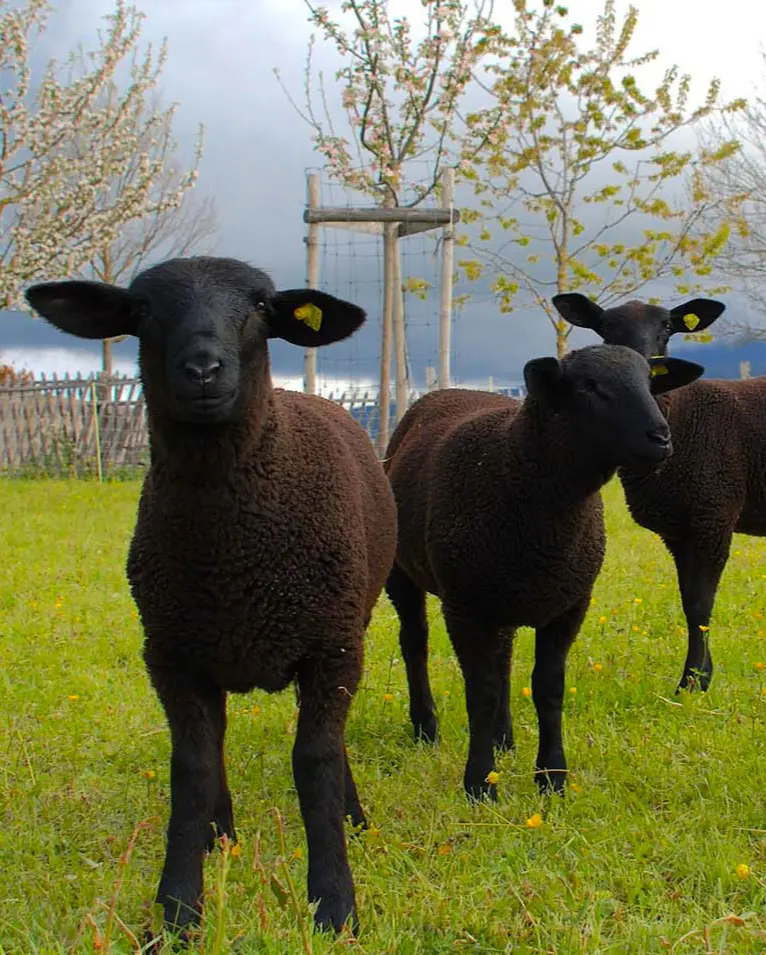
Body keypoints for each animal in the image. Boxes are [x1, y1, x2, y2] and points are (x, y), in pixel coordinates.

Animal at [24, 256, 398, 938]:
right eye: (142, 309)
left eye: (259, 305)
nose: (202, 369)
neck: (229, 548)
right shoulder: (171, 655)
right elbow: (192, 768)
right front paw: (176, 909)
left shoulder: (330, 648)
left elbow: (316, 761)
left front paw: (334, 902)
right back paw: (218, 836)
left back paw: (351, 817)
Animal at [383, 344, 704, 800]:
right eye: (588, 386)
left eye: (649, 381)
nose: (661, 438)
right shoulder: (464, 606)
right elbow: (479, 692)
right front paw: (479, 783)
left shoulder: (570, 603)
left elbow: (547, 688)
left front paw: (552, 777)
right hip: (404, 572)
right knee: (415, 642)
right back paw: (426, 727)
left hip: (505, 594)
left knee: (502, 657)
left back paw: (503, 738)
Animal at [551, 292, 751, 694]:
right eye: (606, 328)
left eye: (667, 327)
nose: (644, 367)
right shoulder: (681, 529)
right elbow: (689, 602)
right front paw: (697, 678)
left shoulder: (714, 514)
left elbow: (701, 605)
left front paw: (692, 684)